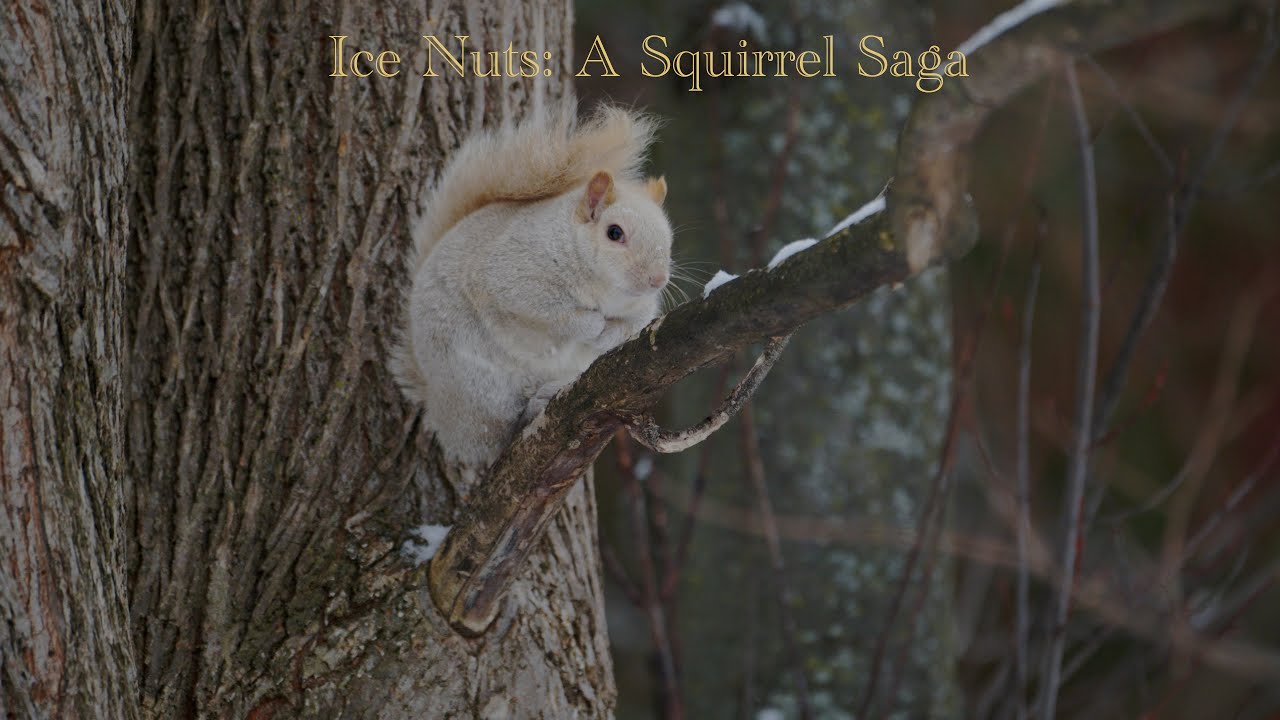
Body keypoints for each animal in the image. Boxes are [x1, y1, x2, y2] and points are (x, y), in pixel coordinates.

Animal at [392, 102, 673, 469]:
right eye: (615, 233)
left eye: (668, 238)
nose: (657, 279)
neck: (604, 290)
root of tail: (437, 407)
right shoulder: (512, 279)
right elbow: (549, 314)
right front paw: (591, 324)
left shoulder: (641, 308)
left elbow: (632, 325)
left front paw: (608, 334)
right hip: (482, 390)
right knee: (496, 438)